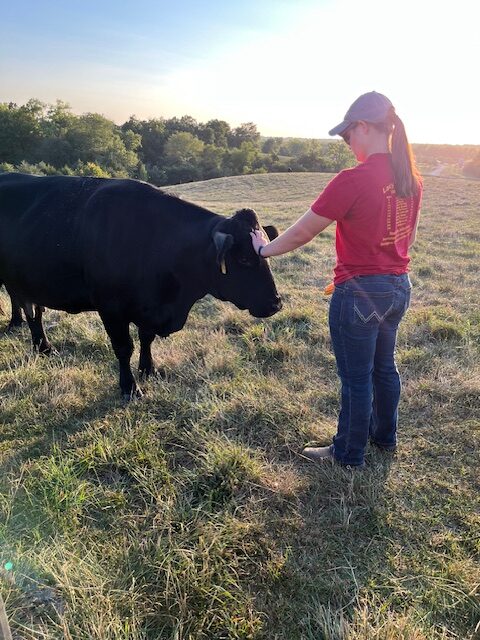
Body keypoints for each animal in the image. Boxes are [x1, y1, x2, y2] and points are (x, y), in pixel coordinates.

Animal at [0, 173, 282, 399]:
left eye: (265, 253)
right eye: (243, 259)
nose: (276, 303)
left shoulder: (149, 307)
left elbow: (146, 338)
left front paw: (149, 369)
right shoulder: (111, 308)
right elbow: (124, 348)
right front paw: (130, 387)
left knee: (32, 311)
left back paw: (42, 346)